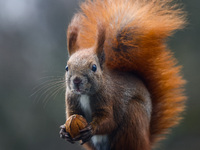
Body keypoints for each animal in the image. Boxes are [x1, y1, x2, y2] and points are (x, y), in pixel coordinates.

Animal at [59, 0, 186, 149]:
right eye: (67, 68)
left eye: (94, 67)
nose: (77, 81)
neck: (85, 95)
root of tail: (146, 140)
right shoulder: (72, 102)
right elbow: (72, 115)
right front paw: (64, 131)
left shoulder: (108, 99)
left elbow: (109, 121)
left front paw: (92, 129)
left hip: (133, 118)